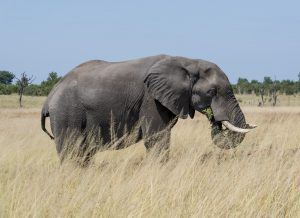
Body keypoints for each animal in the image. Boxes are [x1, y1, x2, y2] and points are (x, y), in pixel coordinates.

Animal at [41, 55, 256, 165]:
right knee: (72, 150)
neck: (187, 61)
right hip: (67, 113)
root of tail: (50, 97)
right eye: (211, 92)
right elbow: (157, 137)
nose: (215, 119)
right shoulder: (150, 99)